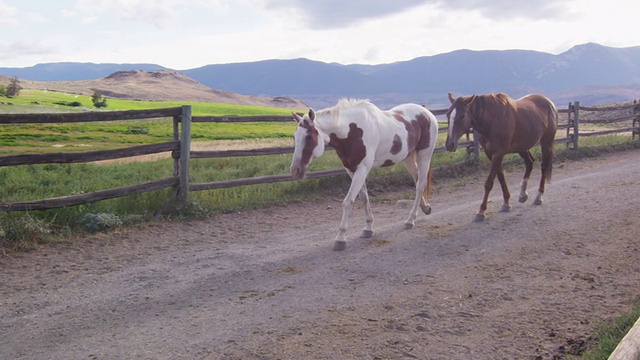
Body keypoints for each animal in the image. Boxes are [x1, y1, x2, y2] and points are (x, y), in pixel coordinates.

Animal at [292, 97, 438, 250]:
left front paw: (340, 238)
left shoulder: (363, 168)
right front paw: (368, 228)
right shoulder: (351, 169)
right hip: (408, 158)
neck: (351, 131)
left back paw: (410, 220)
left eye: (309, 137)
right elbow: (363, 197)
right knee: (417, 181)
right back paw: (425, 208)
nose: (295, 171)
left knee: (420, 185)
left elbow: (348, 201)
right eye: (295, 137)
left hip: (424, 155)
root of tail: (427, 113)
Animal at [442, 92, 556, 222]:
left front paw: (481, 211)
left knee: (543, 167)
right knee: (529, 163)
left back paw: (538, 197)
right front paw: (506, 203)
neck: (491, 120)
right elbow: (501, 178)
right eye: (447, 114)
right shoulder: (491, 154)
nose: (449, 144)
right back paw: (523, 194)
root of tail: (549, 102)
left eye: (462, 115)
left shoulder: (498, 154)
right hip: (522, 147)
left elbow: (489, 183)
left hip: (546, 142)